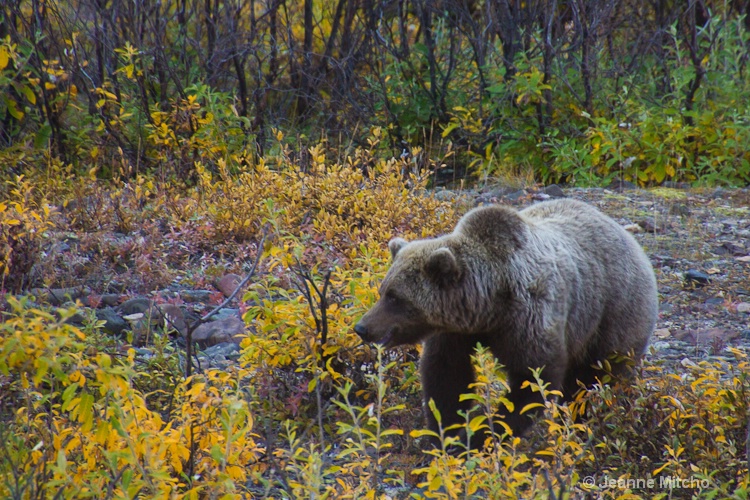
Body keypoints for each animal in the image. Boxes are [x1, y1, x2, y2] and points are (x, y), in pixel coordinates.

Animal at [354, 197, 656, 448]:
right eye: (383, 291)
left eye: (395, 297)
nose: (362, 327)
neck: (490, 303)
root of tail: (633, 243)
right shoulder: (456, 330)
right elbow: (446, 375)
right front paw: (445, 433)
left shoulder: (529, 318)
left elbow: (532, 382)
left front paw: (474, 439)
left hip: (612, 314)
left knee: (593, 381)